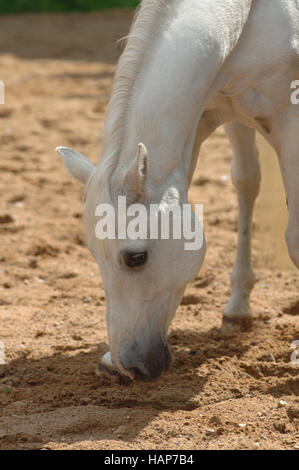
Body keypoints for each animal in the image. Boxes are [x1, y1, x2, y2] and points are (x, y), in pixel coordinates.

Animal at [57, 0, 299, 382]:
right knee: (247, 180)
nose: (130, 366)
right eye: (94, 254)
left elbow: (294, 237)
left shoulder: (289, 115)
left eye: (136, 258)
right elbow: (243, 181)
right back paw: (238, 308)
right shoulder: (206, 113)